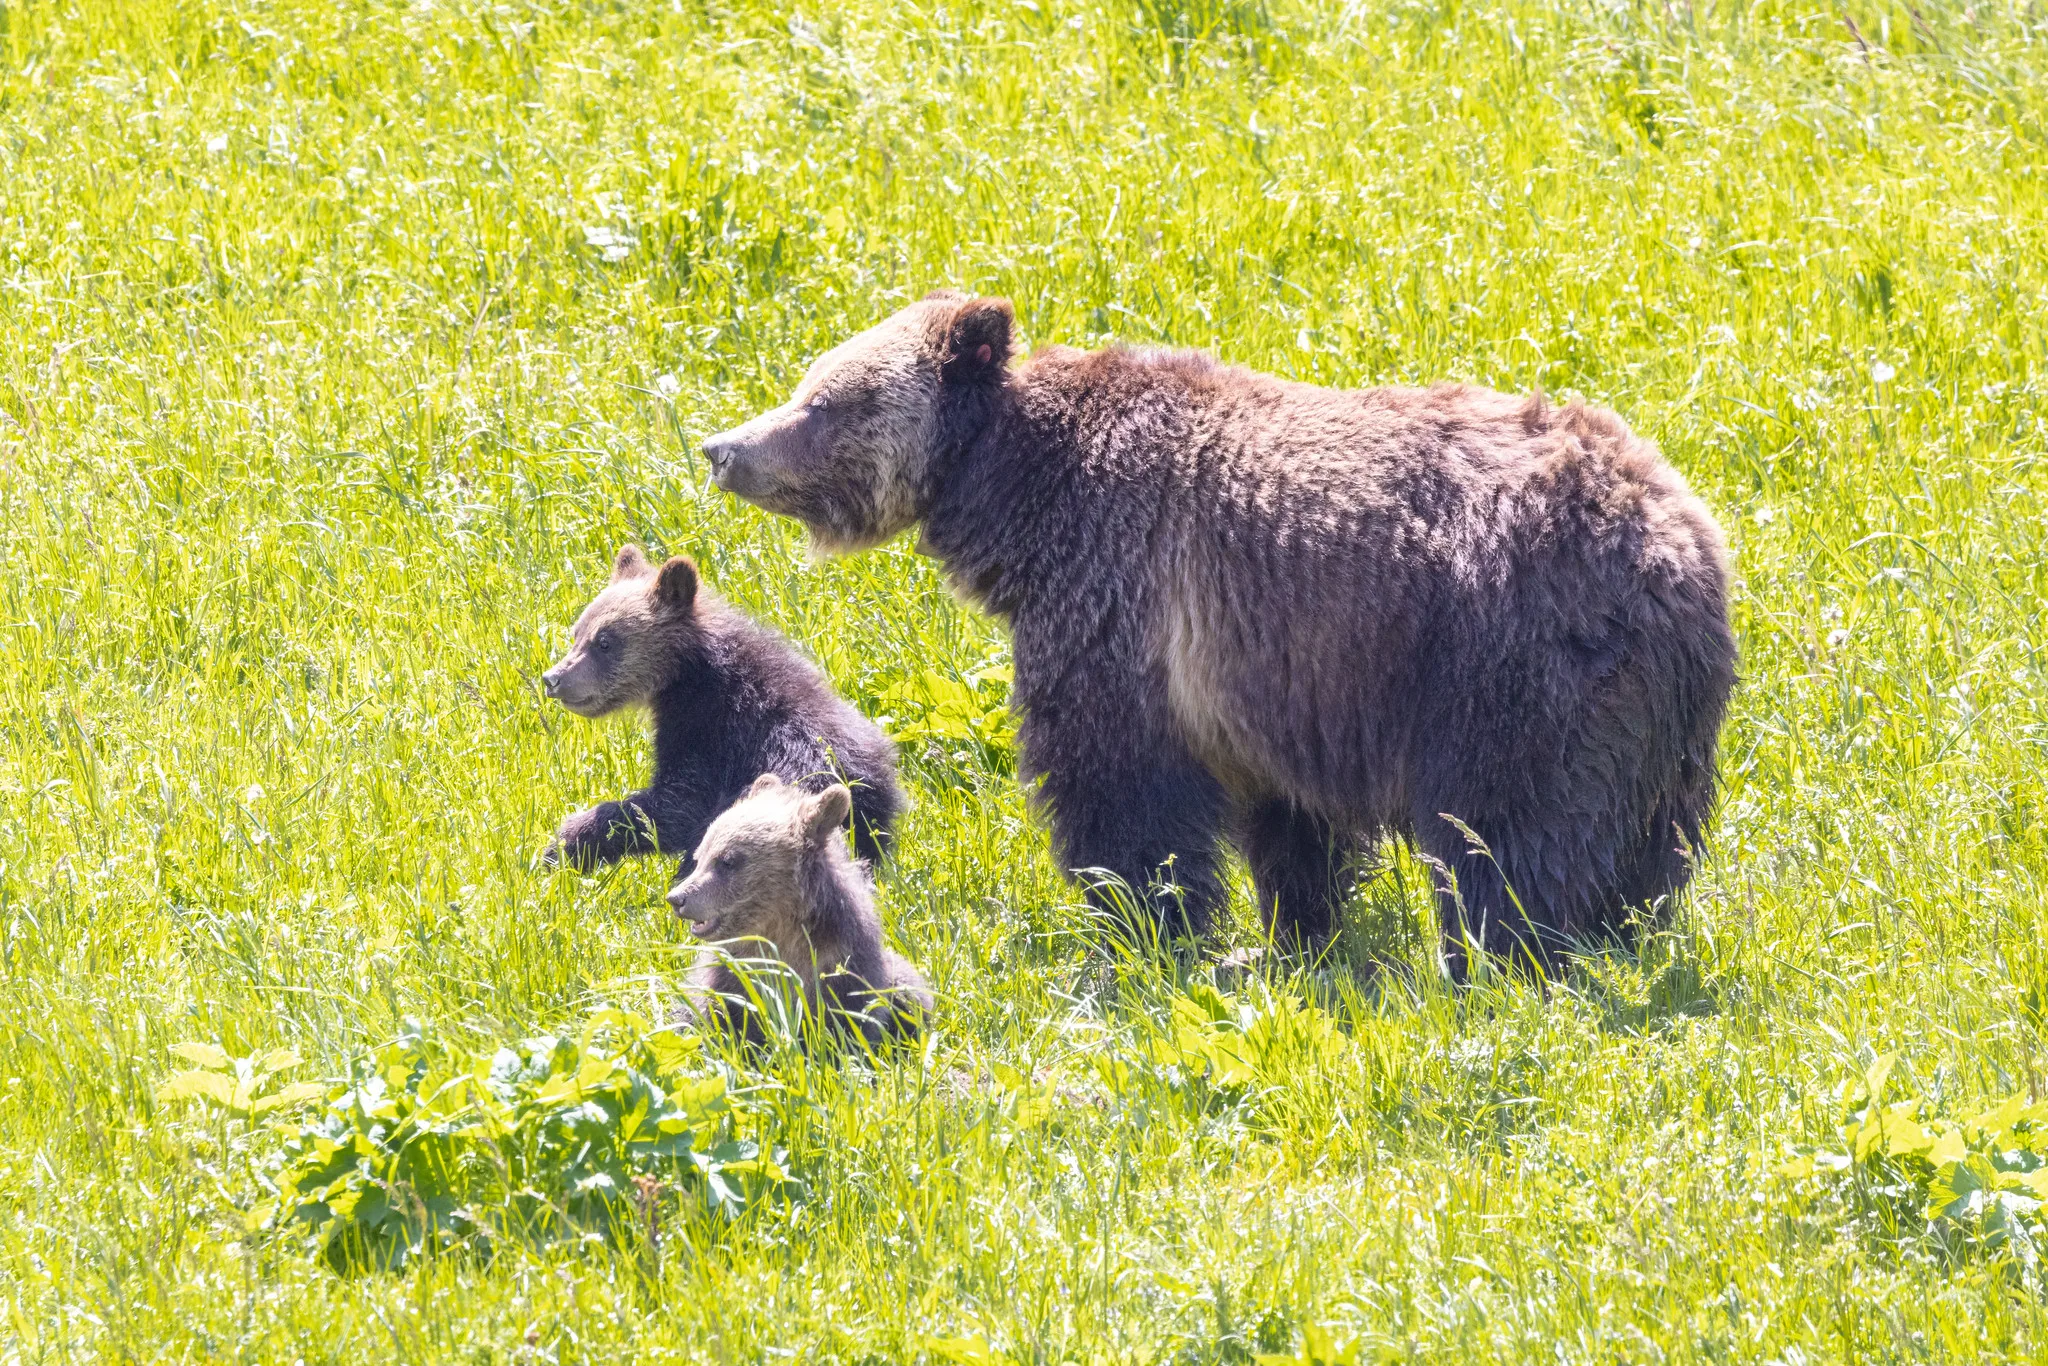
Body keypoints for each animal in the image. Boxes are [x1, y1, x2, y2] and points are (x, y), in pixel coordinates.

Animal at [540, 545, 906, 876]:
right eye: (577, 632)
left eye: (604, 641)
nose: (553, 678)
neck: (689, 673)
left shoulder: (712, 731)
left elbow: (677, 804)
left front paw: (565, 843)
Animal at [665, 773, 933, 1044]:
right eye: (699, 857)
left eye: (727, 861)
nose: (677, 898)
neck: (781, 931)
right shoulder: (729, 978)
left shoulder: (843, 967)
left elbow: (850, 1022)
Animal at [696, 291, 1737, 973]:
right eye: (807, 380)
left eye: (824, 400)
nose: (722, 448)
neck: (1019, 497)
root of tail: (1680, 549)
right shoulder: (1280, 679)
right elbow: (1291, 826)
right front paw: (1299, 934)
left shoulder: (1122, 602)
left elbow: (1122, 793)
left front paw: (1143, 932)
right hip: (1658, 724)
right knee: (1641, 844)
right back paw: (1614, 934)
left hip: (1509, 668)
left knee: (1508, 834)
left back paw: (1503, 956)